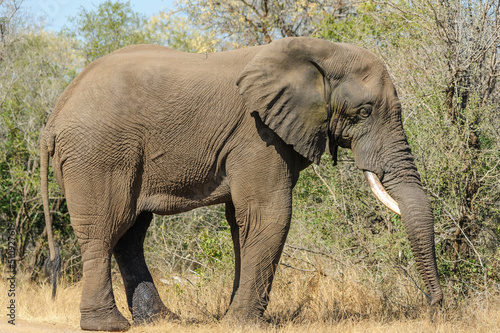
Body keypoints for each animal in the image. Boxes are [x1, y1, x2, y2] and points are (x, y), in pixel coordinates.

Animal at [41, 37, 444, 330]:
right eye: (363, 112)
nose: (437, 308)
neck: (318, 52)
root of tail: (54, 117)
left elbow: (242, 221)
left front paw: (233, 317)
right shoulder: (258, 134)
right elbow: (269, 213)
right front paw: (244, 323)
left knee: (130, 233)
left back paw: (162, 320)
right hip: (98, 153)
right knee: (105, 228)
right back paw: (109, 326)